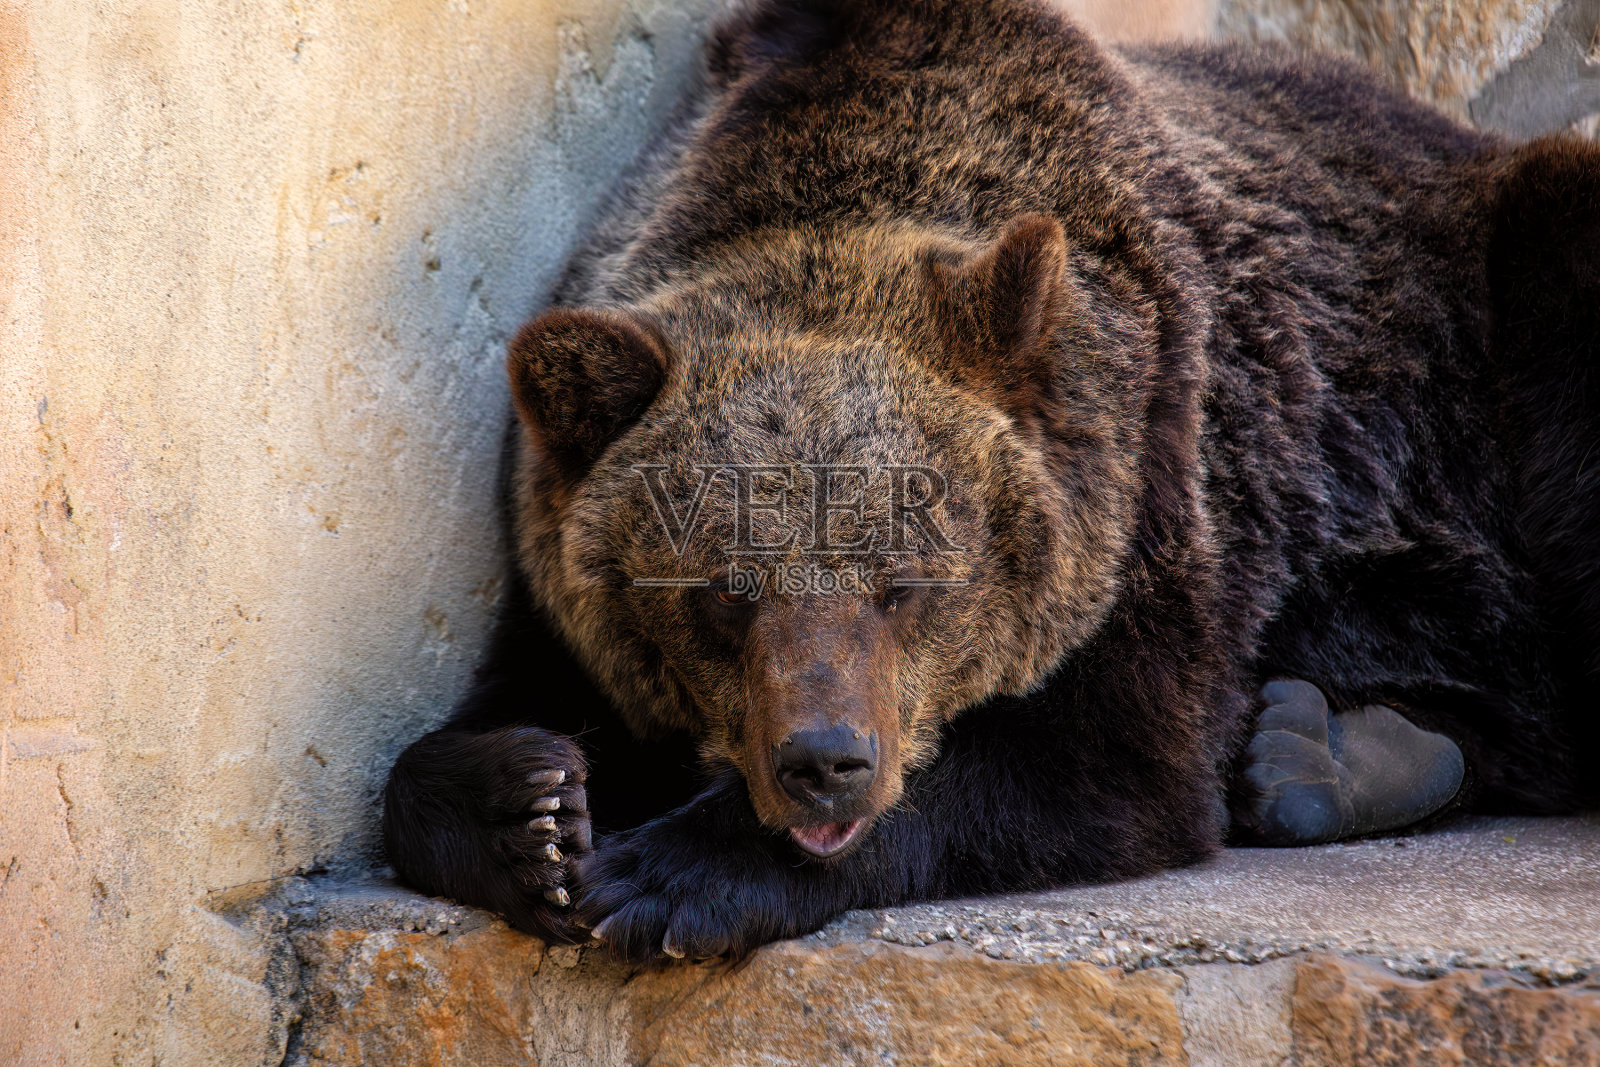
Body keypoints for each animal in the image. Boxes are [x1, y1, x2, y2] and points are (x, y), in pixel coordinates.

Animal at [382, 0, 1600, 963]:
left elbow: (1093, 765)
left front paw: (672, 876)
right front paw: (533, 810)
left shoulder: (1160, 484)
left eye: (904, 583)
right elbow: (475, 726)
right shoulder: (557, 559)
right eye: (724, 591)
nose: (824, 761)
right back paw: (1329, 751)